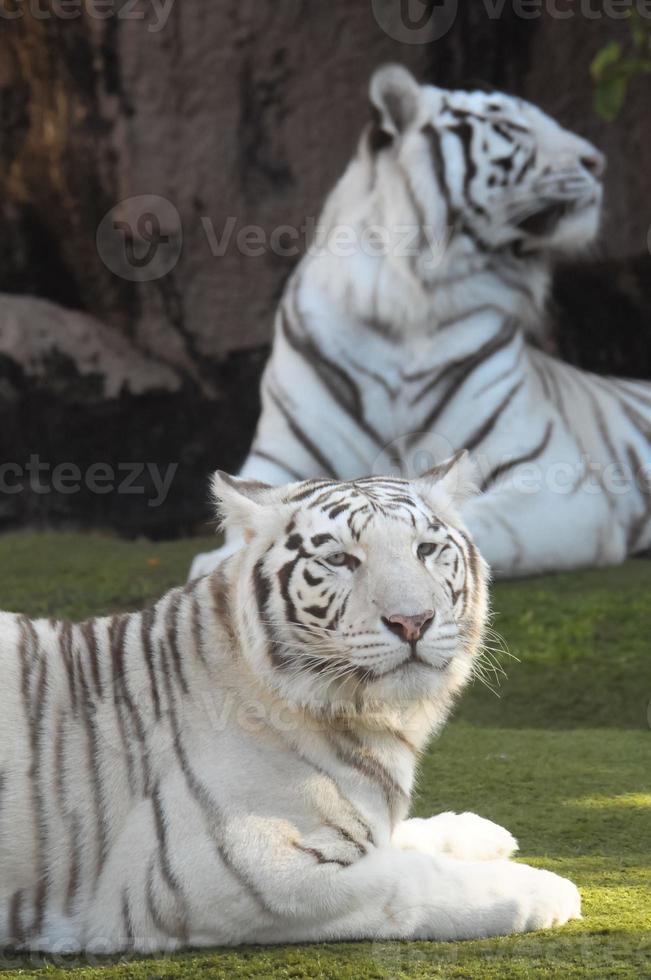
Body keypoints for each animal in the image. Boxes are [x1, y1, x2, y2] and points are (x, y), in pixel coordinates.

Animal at [0, 458, 580, 948]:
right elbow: (416, 880)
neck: (368, 716)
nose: (413, 621)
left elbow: (400, 838)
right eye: (340, 559)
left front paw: (480, 830)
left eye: (425, 550)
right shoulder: (238, 873)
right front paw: (546, 889)